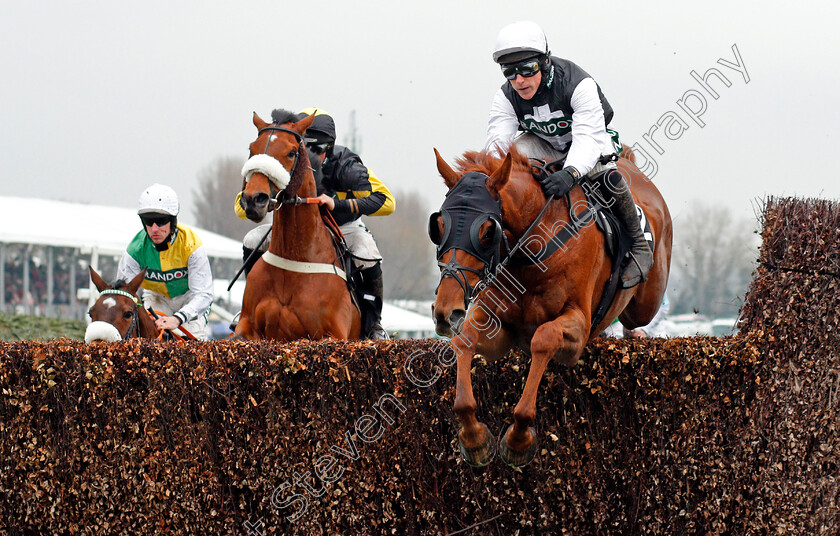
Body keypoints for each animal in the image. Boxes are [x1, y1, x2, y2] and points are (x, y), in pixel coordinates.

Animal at [235, 110, 360, 340]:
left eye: (292, 153)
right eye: (252, 149)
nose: (253, 199)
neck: (295, 258)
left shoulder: (334, 334)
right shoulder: (247, 326)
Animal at [430, 144, 672, 466]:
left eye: (487, 231)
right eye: (438, 225)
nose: (446, 311)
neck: (531, 251)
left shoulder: (578, 329)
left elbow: (544, 338)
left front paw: (518, 440)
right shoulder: (500, 332)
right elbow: (464, 341)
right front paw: (474, 438)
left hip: (646, 302)